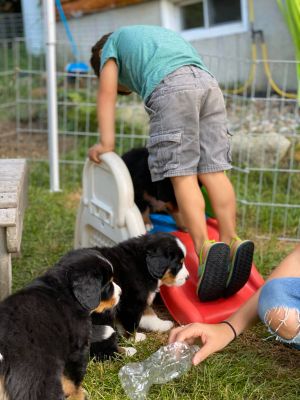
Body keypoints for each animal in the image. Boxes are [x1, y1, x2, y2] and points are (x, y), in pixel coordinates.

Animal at [0, 248, 122, 398]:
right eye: (107, 285)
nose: (121, 292)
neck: (65, 290)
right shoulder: (77, 348)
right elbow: (72, 380)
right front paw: (78, 395)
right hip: (38, 378)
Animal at [89, 231, 189, 360]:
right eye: (178, 264)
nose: (188, 277)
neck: (143, 266)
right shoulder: (132, 303)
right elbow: (131, 325)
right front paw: (135, 339)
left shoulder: (141, 299)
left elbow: (150, 314)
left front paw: (162, 324)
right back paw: (127, 351)